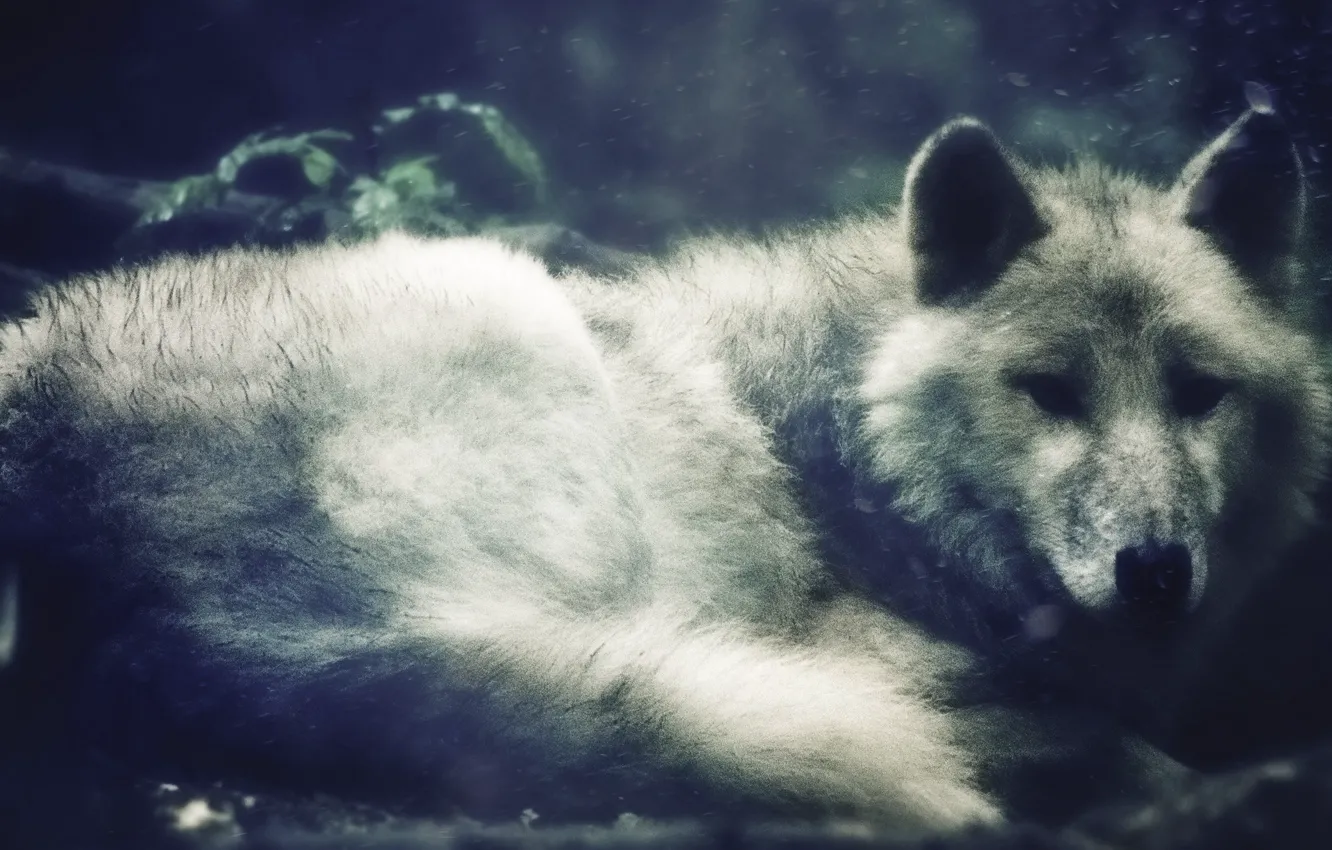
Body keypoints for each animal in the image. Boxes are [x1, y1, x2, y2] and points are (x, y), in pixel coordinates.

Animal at [0, 105, 1324, 835]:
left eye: (1199, 391)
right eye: (1049, 390)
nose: (1155, 571)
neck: (852, 444)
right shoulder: (858, 643)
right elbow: (1101, 741)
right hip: (524, 345)